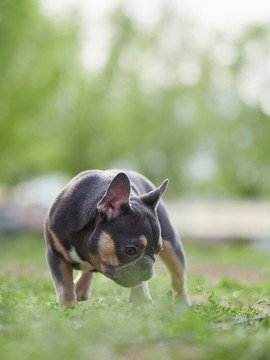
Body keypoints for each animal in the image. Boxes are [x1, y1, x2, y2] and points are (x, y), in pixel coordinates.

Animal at [44, 170, 189, 306]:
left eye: (157, 251)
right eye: (130, 250)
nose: (147, 265)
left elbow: (139, 284)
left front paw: (141, 304)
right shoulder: (55, 254)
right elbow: (64, 286)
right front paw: (68, 308)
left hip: (172, 245)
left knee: (178, 278)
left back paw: (182, 305)